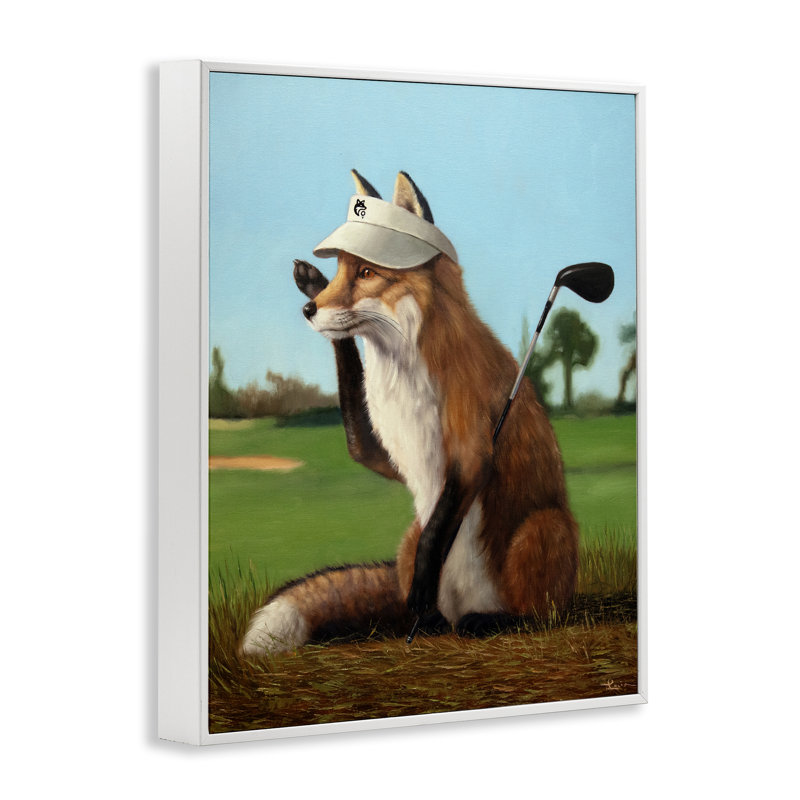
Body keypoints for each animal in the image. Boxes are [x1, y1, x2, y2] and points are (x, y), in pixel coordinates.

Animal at [241, 170, 579, 657]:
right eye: (339, 271)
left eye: (366, 272)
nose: (309, 308)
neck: (406, 371)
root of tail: (464, 605)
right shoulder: (386, 450)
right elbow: (360, 439)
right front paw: (312, 283)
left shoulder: (471, 444)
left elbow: (438, 537)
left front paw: (422, 590)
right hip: (408, 536)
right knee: (430, 599)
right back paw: (431, 622)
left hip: (541, 531)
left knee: (540, 612)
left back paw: (485, 620)